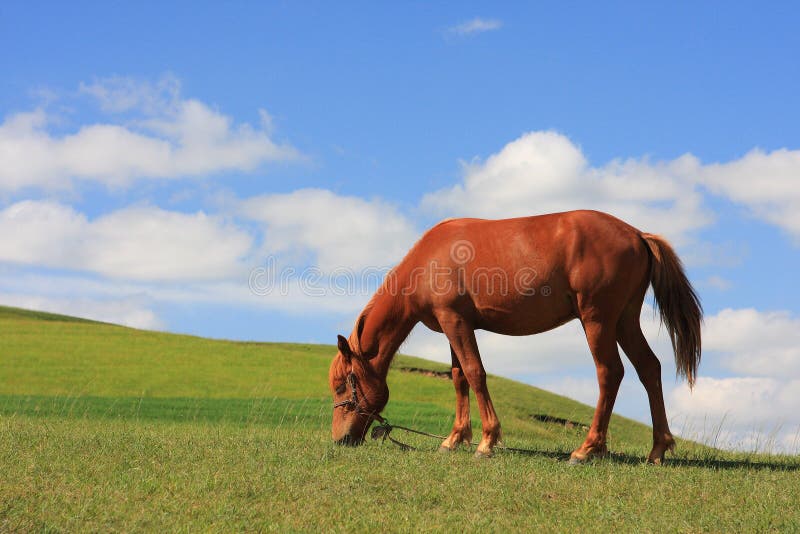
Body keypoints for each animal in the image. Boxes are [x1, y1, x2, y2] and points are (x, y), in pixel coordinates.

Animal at [326, 209, 700, 464]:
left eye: (344, 384)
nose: (339, 439)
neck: (428, 260)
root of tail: (637, 233)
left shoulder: (456, 322)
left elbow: (476, 374)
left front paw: (486, 441)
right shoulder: (453, 326)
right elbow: (459, 378)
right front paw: (455, 438)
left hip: (597, 320)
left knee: (611, 373)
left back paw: (586, 449)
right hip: (624, 321)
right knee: (649, 368)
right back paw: (657, 449)